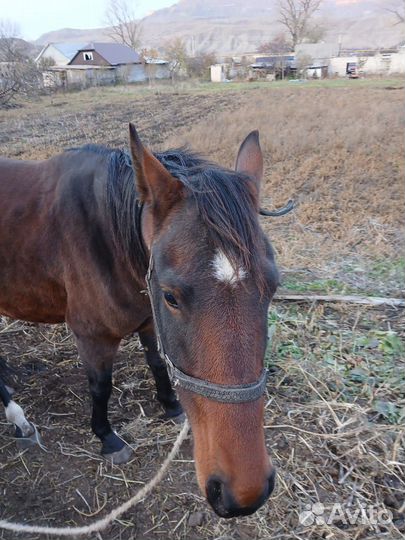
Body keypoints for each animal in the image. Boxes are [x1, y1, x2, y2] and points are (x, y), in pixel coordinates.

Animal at [0, 126, 278, 520]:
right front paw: (107, 437)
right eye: (171, 296)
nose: (245, 492)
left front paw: (171, 406)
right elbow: (101, 385)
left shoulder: (148, 321)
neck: (105, 234)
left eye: (273, 287)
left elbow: (158, 363)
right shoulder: (93, 335)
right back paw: (16, 416)